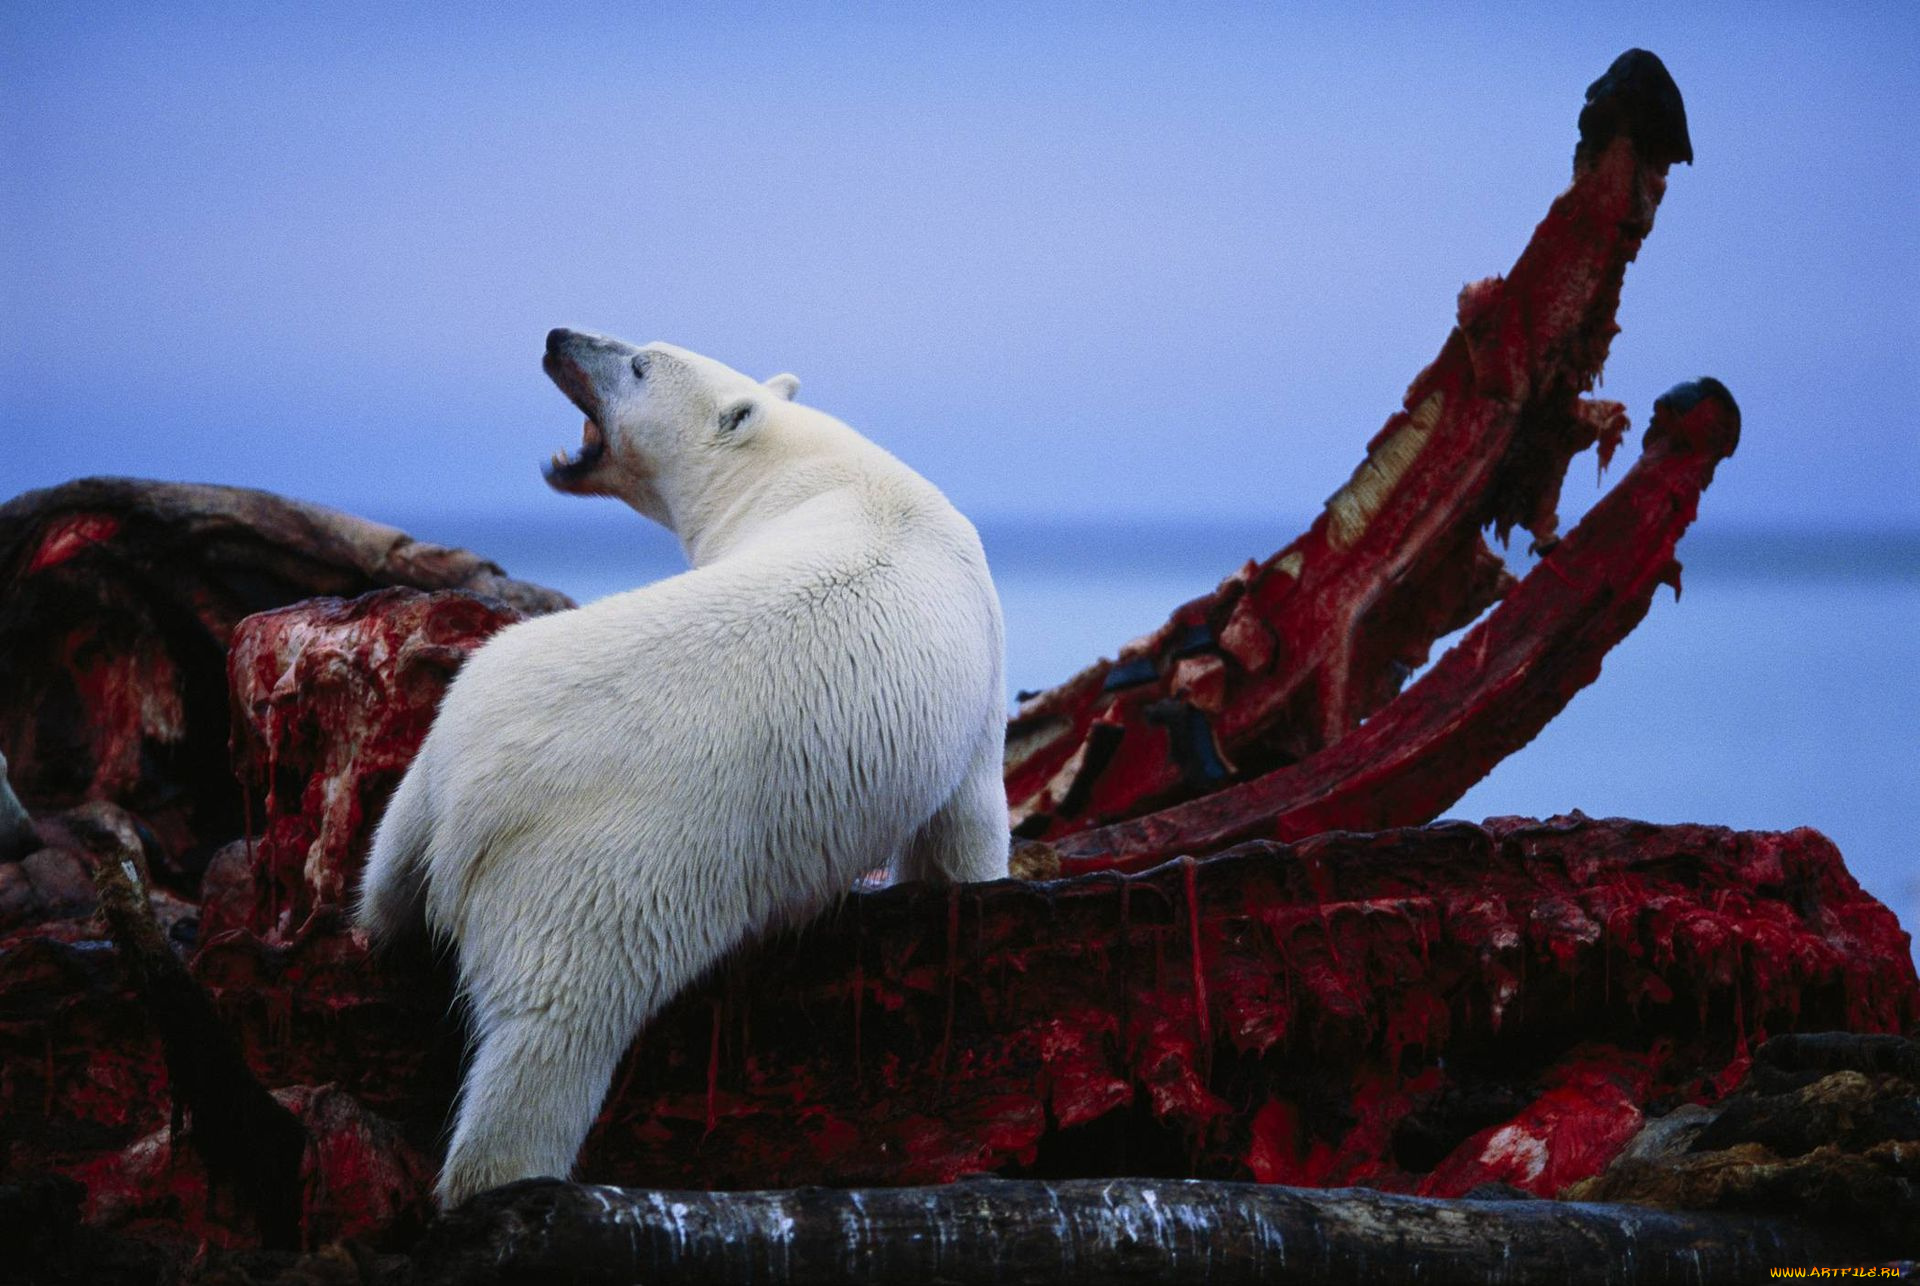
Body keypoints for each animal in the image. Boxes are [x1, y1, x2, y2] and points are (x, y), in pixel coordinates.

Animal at [357, 330, 1006, 1213]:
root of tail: (480, 792)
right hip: (605, 872)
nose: (557, 337)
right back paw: (501, 1182)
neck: (811, 472)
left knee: (386, 873)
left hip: (448, 737)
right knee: (552, 1035)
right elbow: (968, 823)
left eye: (637, 361)